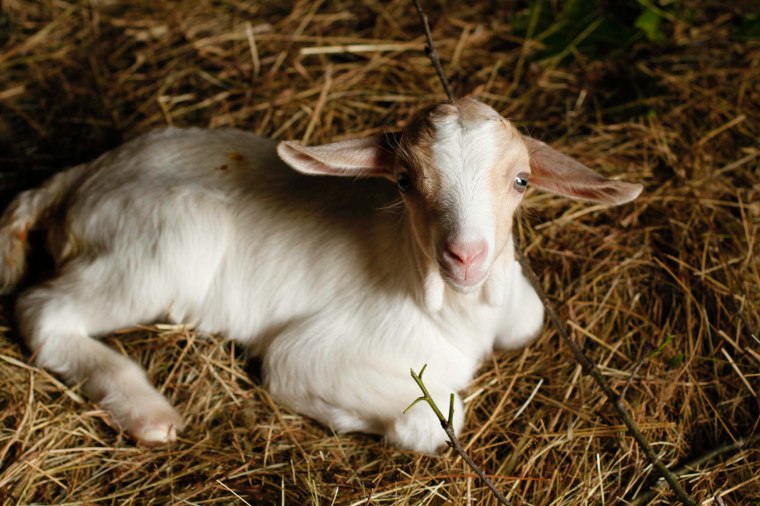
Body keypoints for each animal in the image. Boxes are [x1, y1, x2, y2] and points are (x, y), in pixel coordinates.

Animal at [0, 98, 641, 452]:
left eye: (521, 181)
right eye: (404, 181)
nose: (466, 255)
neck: (453, 309)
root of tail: (79, 178)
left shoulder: (518, 311)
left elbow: (528, 320)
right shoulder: (309, 354)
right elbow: (438, 417)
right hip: (168, 240)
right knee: (41, 311)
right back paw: (148, 412)